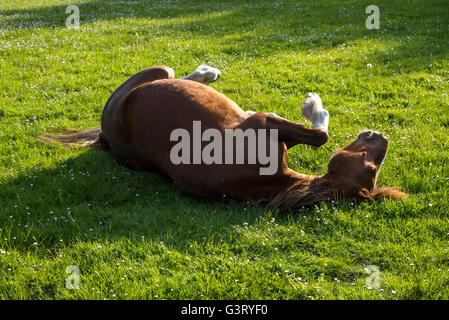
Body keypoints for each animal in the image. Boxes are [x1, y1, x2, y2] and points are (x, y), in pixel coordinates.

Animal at [41, 64, 406, 212]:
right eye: (371, 166)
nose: (381, 136)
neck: (273, 182)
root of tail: (106, 132)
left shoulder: (264, 123)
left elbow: (319, 135)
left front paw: (311, 104)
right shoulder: (265, 122)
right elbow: (319, 134)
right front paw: (312, 103)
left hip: (157, 74)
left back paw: (207, 73)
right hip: (159, 75)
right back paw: (208, 73)